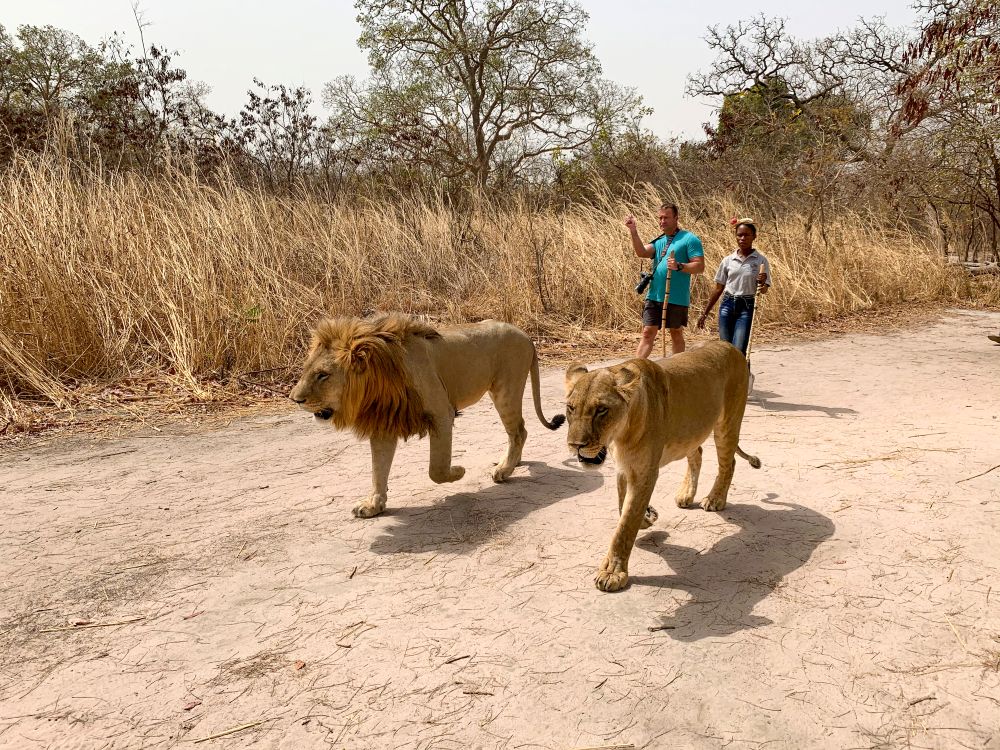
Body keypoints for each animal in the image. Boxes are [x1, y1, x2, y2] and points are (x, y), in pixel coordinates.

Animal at [292, 314, 568, 520]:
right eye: (306, 370)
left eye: (323, 375)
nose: (295, 399)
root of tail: (526, 335)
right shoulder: (385, 422)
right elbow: (378, 469)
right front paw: (373, 505)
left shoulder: (442, 413)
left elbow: (436, 470)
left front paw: (458, 471)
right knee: (518, 431)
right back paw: (512, 462)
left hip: (506, 390)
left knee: (519, 430)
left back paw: (504, 470)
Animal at [564, 340, 756, 592]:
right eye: (570, 408)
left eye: (601, 410)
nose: (575, 445)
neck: (620, 435)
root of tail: (729, 346)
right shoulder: (624, 467)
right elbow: (622, 506)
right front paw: (646, 519)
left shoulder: (645, 472)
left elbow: (626, 522)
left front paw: (613, 572)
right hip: (690, 430)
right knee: (697, 454)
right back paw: (686, 494)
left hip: (727, 424)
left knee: (728, 462)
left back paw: (715, 499)